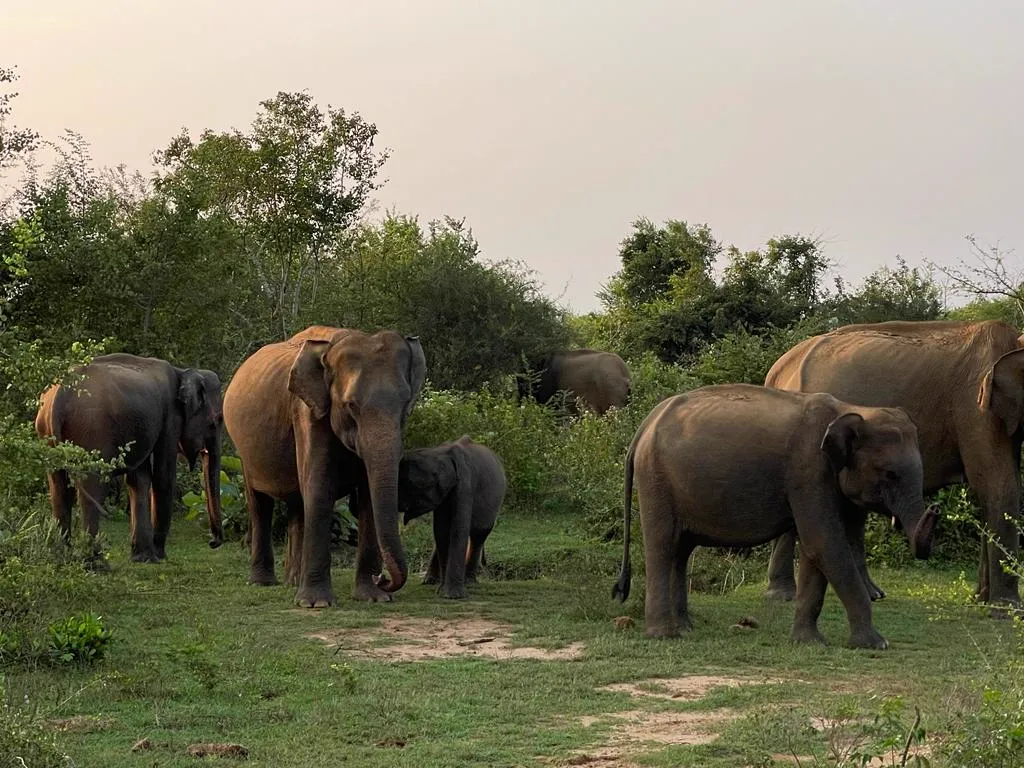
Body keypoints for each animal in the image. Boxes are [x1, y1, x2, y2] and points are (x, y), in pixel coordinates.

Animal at [34, 353, 224, 563]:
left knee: (58, 488)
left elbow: (138, 479)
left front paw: (144, 558)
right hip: (91, 431)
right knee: (92, 487)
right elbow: (163, 476)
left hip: (46, 434)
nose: (213, 542)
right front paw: (159, 556)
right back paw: (96, 563)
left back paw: (63, 557)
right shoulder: (170, 417)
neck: (182, 371)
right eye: (217, 421)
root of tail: (59, 396)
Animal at [222, 325, 426, 608]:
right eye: (351, 405)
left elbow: (367, 496)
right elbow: (319, 488)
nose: (382, 578)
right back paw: (262, 582)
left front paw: (374, 598)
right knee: (259, 502)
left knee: (297, 503)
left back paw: (293, 582)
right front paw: (316, 604)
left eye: (405, 403)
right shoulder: (308, 412)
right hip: (244, 451)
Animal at [398, 435, 506, 599]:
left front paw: (452, 596)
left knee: (479, 535)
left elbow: (457, 528)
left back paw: (469, 583)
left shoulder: (466, 484)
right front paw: (444, 592)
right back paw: (429, 582)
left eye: (409, 484)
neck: (440, 454)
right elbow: (441, 531)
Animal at [611, 384, 938, 649]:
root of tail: (644, 426)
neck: (852, 409)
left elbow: (815, 552)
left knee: (681, 550)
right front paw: (876, 644)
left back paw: (685, 628)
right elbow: (824, 543)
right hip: (656, 480)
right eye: (890, 474)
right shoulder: (809, 471)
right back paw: (665, 635)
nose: (935, 509)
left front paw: (808, 643)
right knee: (663, 546)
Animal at [764, 320, 1024, 610]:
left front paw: (981, 600)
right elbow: (998, 486)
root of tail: (776, 370)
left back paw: (868, 594)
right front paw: (1006, 609)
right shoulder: (975, 407)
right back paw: (784, 595)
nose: (935, 508)